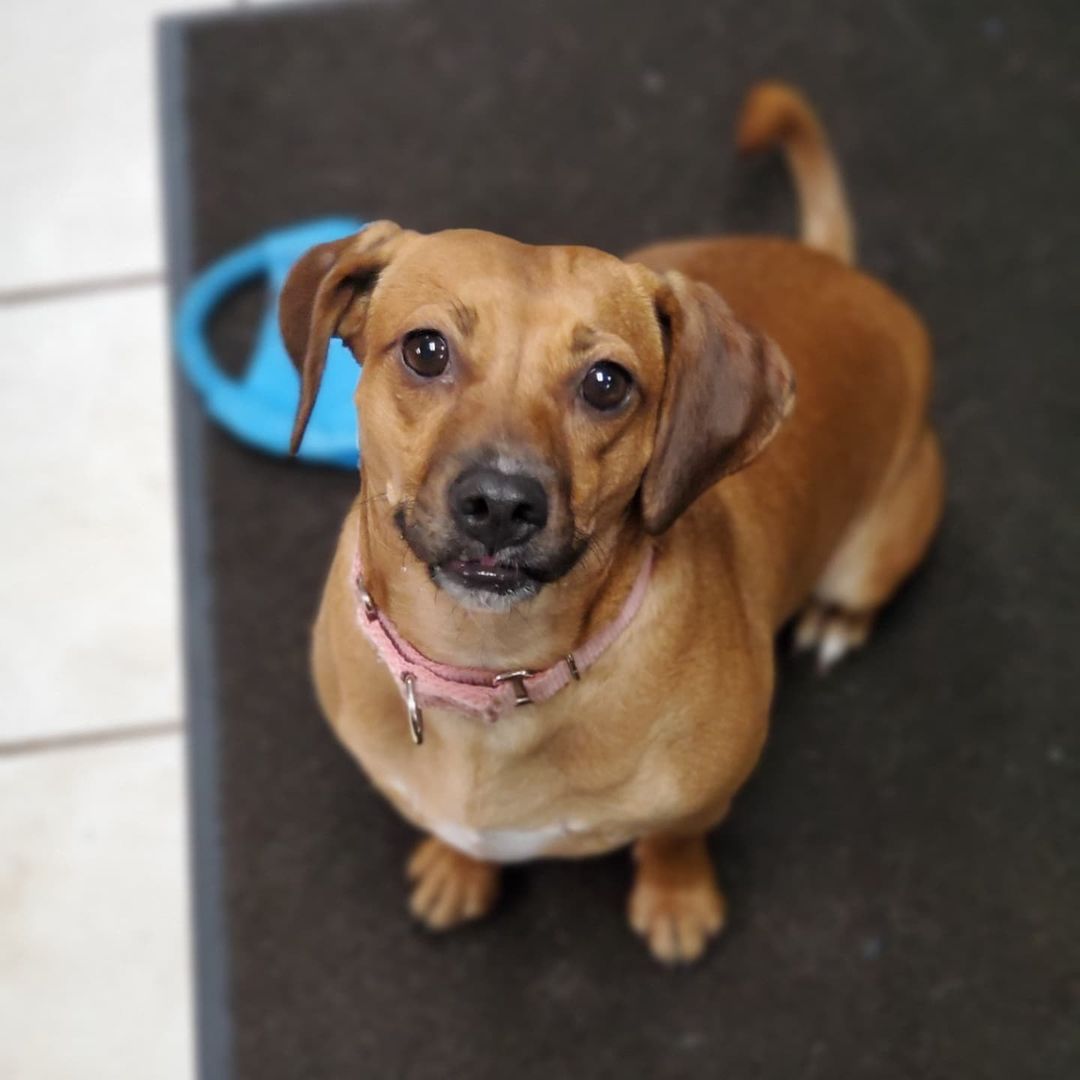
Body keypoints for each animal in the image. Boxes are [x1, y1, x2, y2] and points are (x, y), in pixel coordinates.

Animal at [280, 82, 946, 963]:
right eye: (425, 350)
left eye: (606, 383)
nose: (501, 504)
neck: (490, 675)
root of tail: (838, 266)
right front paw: (460, 869)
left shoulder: (701, 799)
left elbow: (673, 839)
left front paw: (676, 898)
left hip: (876, 545)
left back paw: (836, 619)